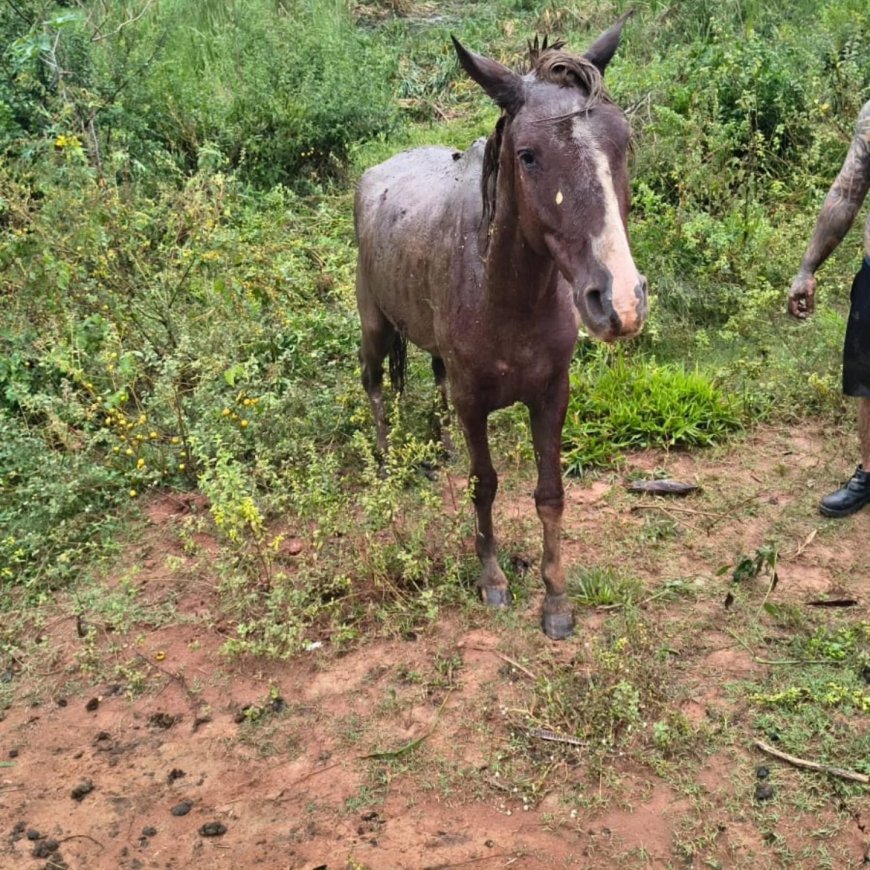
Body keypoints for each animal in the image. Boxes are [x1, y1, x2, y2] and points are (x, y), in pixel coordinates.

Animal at [354, 17, 648, 639]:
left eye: (622, 141)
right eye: (529, 155)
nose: (620, 301)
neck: (509, 298)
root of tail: (376, 173)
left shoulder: (551, 395)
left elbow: (550, 494)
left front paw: (556, 598)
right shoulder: (474, 403)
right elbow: (483, 484)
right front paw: (491, 577)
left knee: (432, 381)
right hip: (374, 327)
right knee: (375, 388)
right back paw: (386, 462)